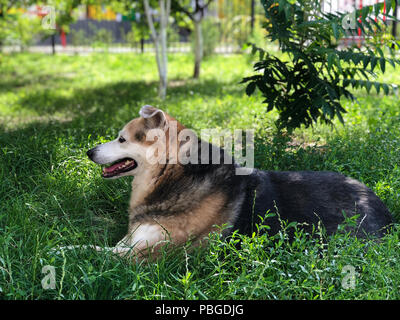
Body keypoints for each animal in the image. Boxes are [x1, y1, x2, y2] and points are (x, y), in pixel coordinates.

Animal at [83, 105, 392, 260]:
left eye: (122, 139)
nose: (89, 152)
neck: (170, 175)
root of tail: (386, 212)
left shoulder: (144, 256)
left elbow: (87, 250)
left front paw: (69, 249)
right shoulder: (131, 241)